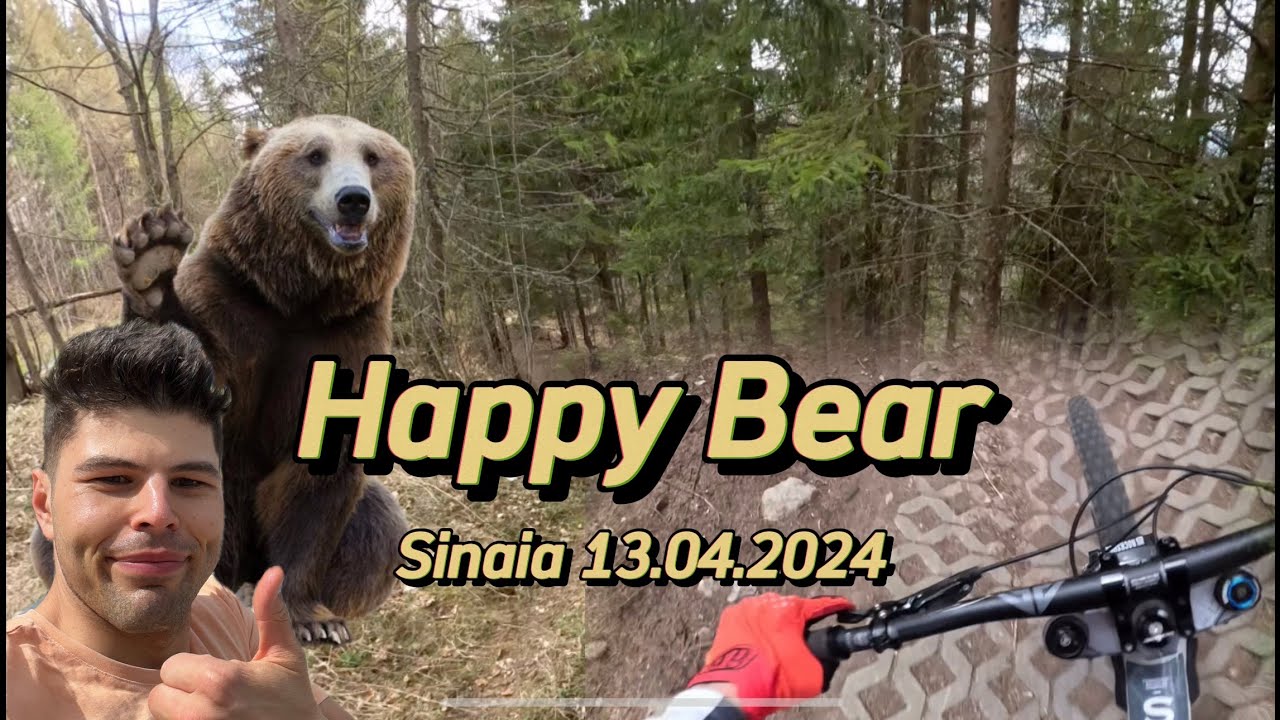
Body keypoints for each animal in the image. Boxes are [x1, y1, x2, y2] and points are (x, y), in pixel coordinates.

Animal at [31, 115, 415, 644]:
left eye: (373, 156)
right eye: (314, 154)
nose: (353, 198)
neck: (299, 300)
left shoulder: (349, 336)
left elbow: (320, 479)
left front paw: (312, 618)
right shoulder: (229, 304)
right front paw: (152, 257)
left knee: (378, 522)